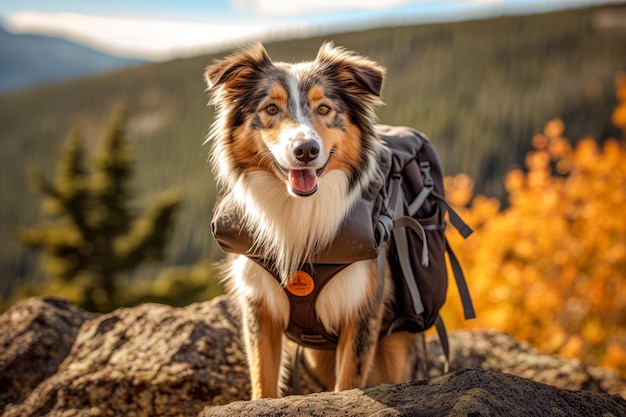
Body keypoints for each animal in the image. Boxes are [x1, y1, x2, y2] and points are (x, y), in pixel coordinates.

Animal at [202, 43, 422, 400]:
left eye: (324, 108)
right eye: (271, 108)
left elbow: (348, 383)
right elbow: (263, 381)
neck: (299, 212)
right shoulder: (259, 306)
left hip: (396, 348)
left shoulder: (362, 311)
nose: (306, 150)